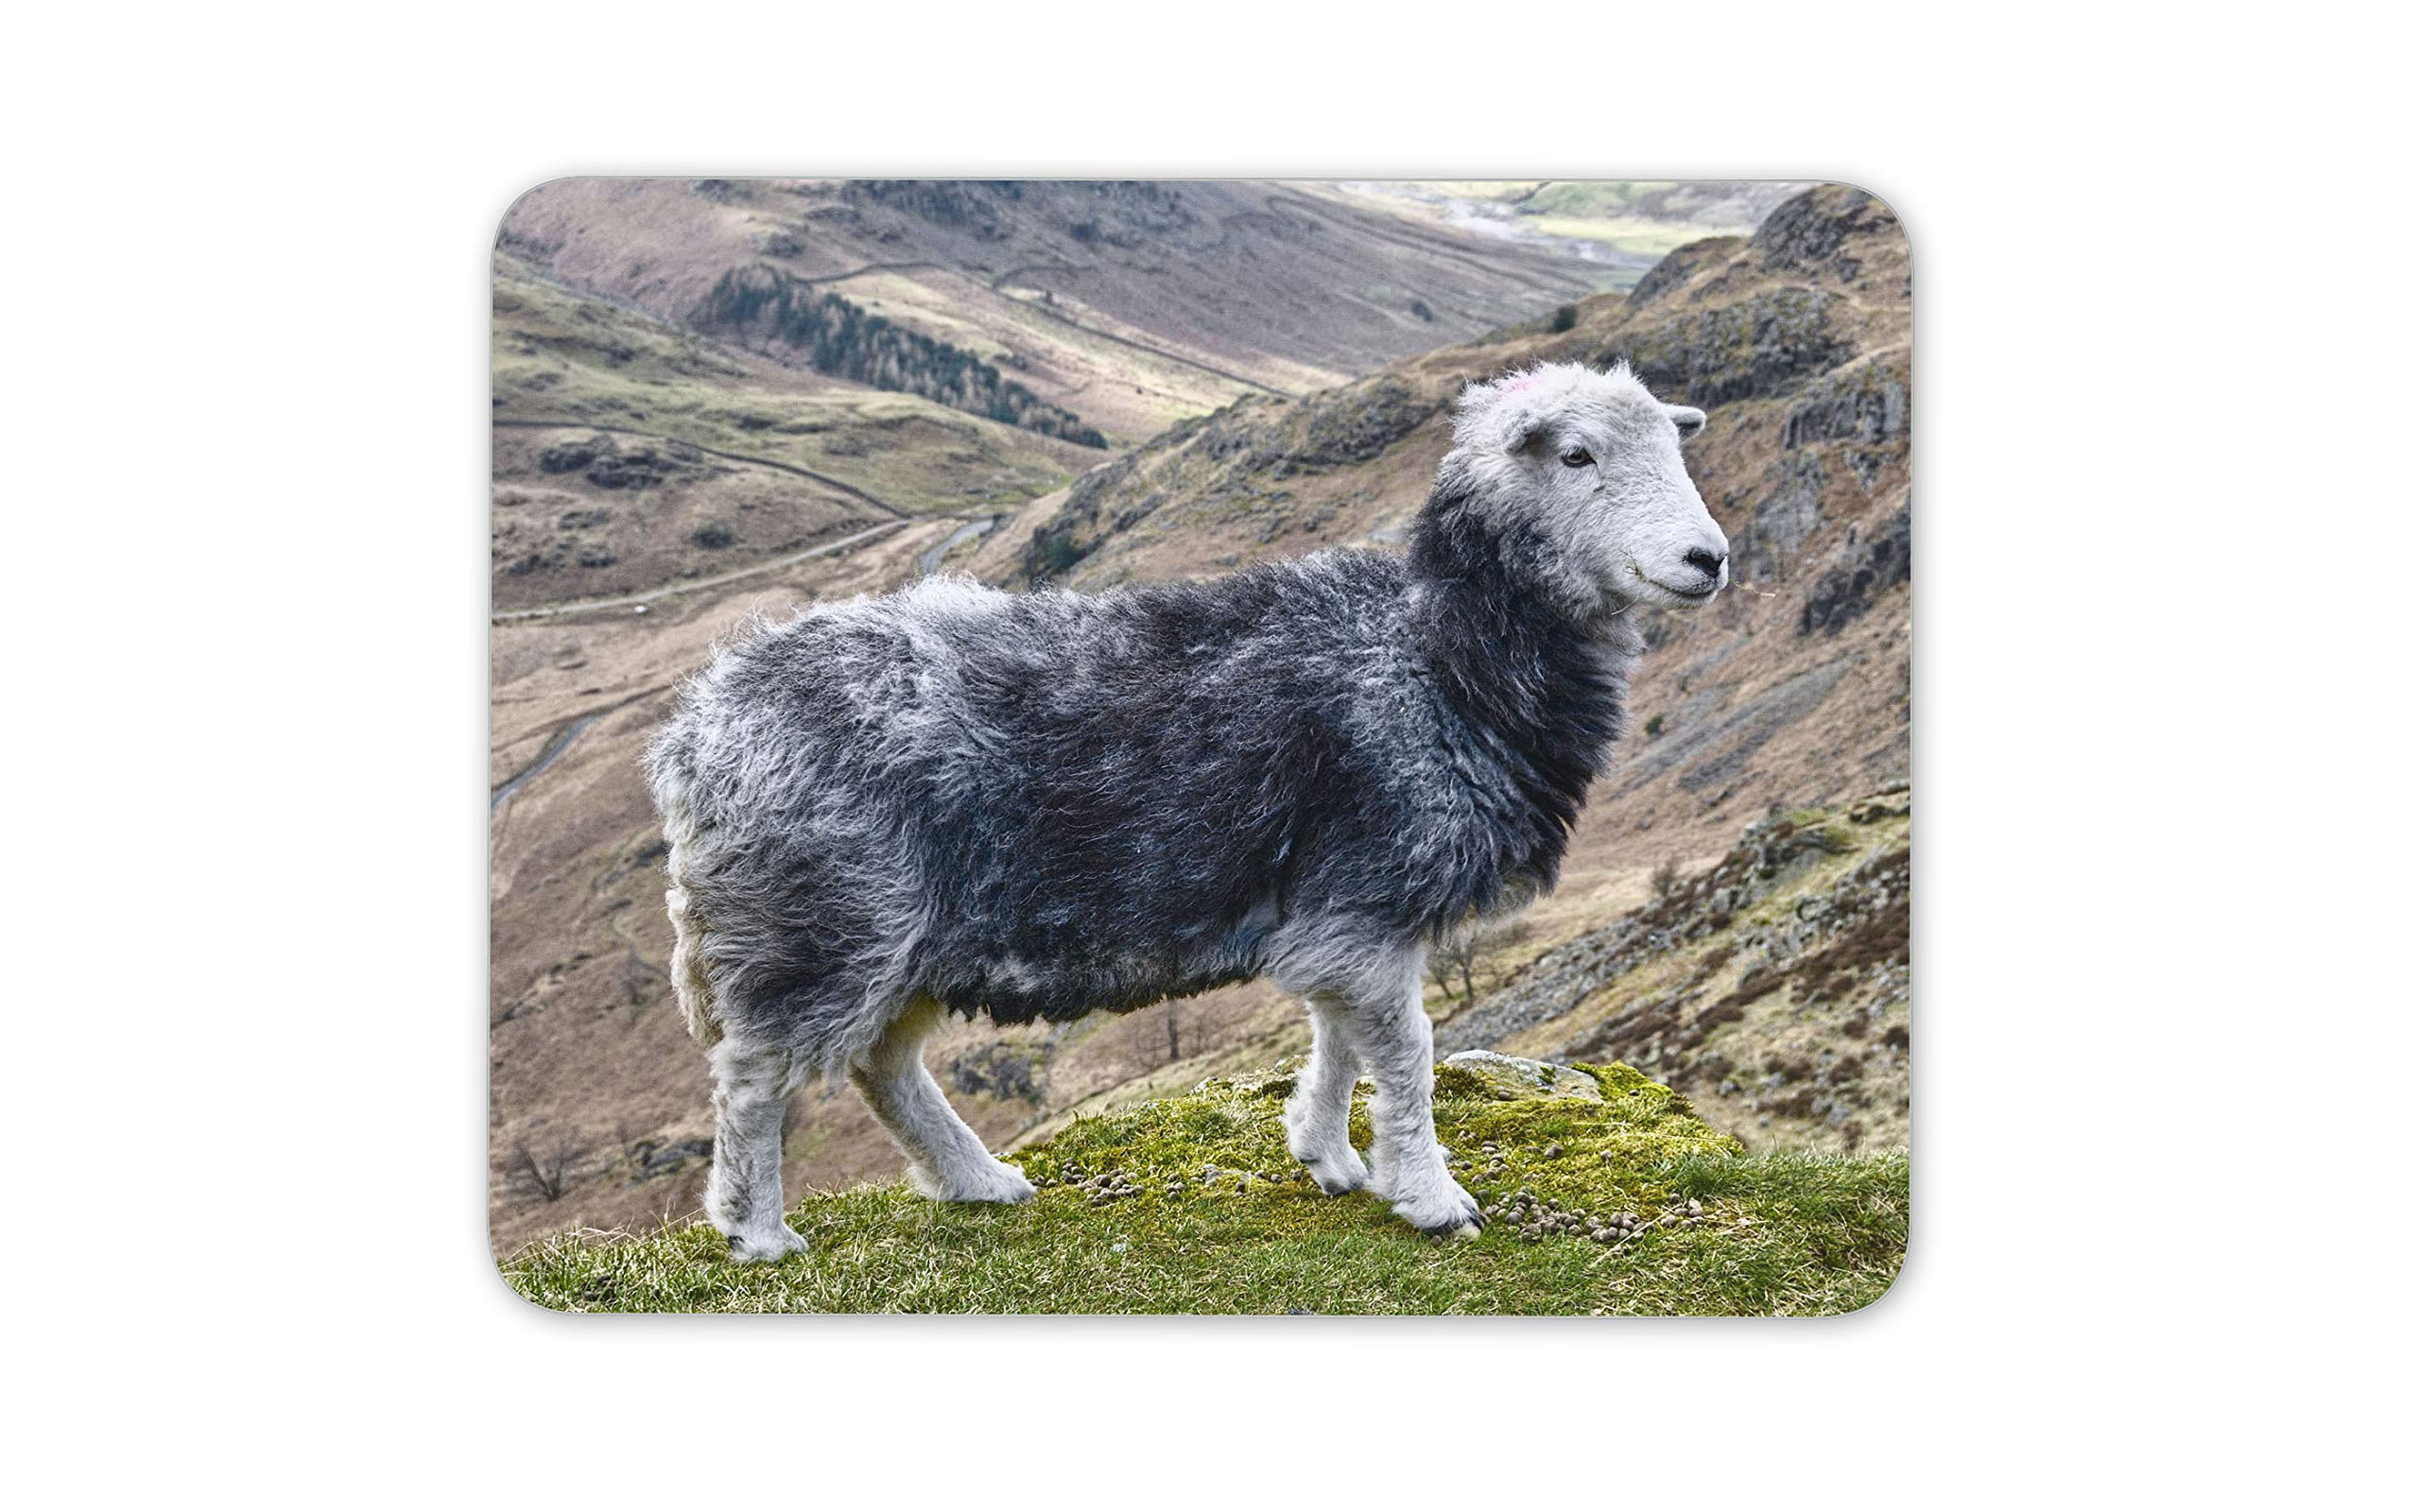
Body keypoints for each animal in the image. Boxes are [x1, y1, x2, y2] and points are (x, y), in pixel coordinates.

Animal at [646, 361, 1730, 1260]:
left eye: (1675, 447)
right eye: (1577, 455)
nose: (1707, 559)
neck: (1437, 650)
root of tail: (700, 728)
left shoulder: (1341, 912)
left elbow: (1341, 1038)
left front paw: (1327, 1154)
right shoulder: (1370, 889)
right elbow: (1408, 1056)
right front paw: (1429, 1195)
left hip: (901, 936)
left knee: (883, 1064)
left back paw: (977, 1180)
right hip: (822, 920)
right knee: (755, 1077)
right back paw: (757, 1233)